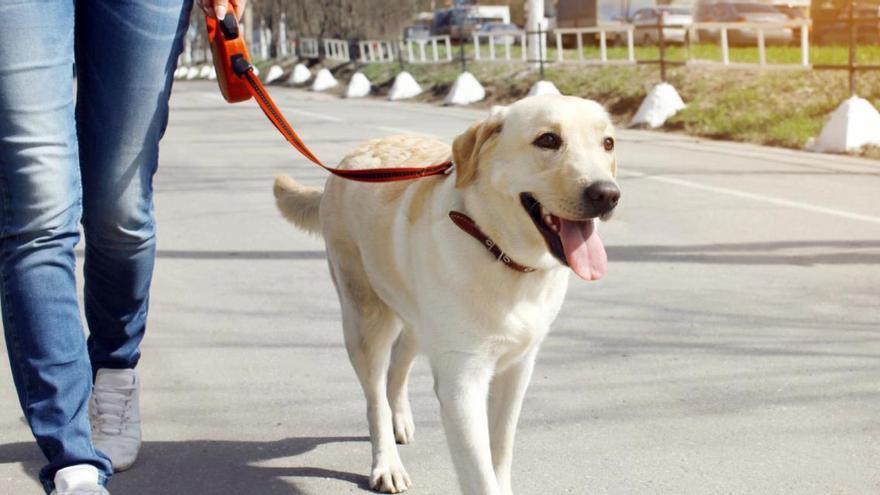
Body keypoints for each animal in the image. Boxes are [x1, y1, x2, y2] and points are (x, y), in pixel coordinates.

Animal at [276, 95, 620, 494]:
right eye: (548, 140)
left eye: (608, 143)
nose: (607, 194)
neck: (497, 250)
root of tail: (347, 160)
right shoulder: (462, 382)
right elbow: (480, 475)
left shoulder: (518, 369)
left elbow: (501, 449)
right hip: (364, 318)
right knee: (375, 395)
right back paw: (387, 462)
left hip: (415, 319)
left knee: (398, 365)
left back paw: (400, 418)